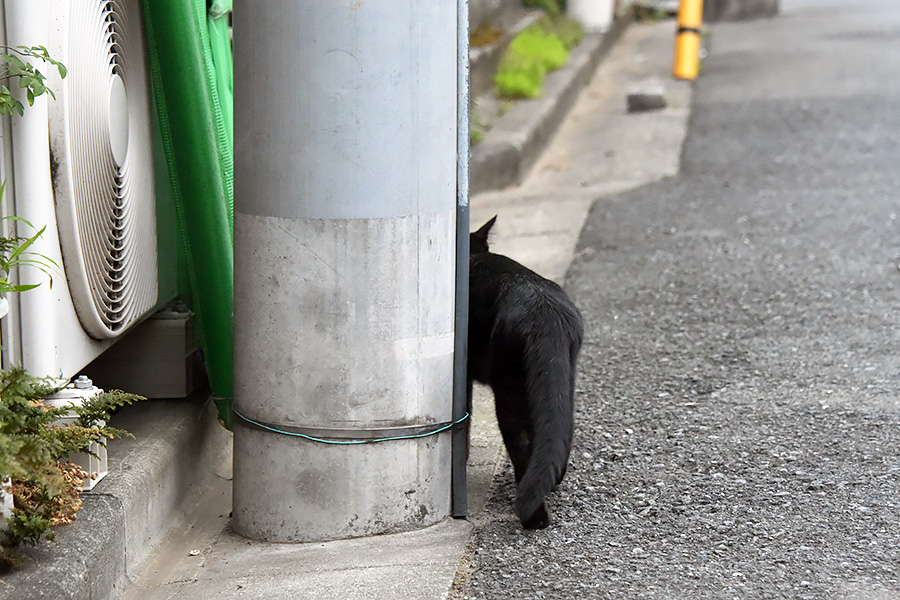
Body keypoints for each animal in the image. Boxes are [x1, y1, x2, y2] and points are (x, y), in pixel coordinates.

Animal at [468, 217, 588, 528]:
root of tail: (543, 311)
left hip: (508, 392)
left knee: (520, 442)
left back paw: (533, 516)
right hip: (560, 382)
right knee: (558, 432)